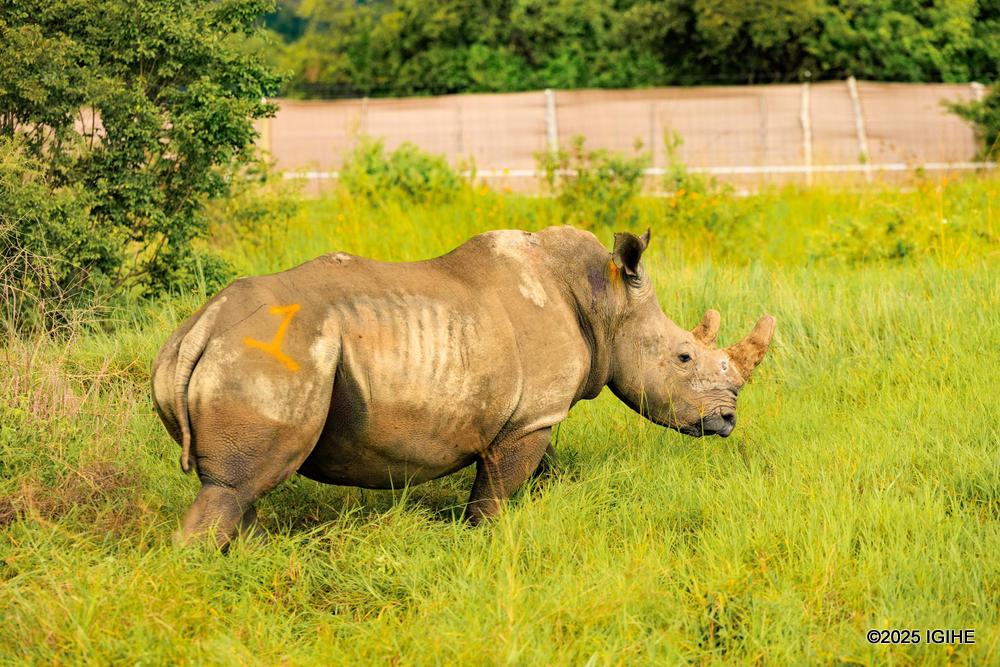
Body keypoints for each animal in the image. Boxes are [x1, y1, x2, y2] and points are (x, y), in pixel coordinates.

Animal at [152, 226, 775, 545]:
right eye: (684, 356)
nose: (727, 420)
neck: (606, 298)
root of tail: (202, 326)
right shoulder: (531, 416)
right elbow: (495, 492)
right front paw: (487, 543)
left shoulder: (530, 416)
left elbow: (536, 472)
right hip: (277, 354)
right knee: (238, 485)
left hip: (231, 350)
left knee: (241, 488)